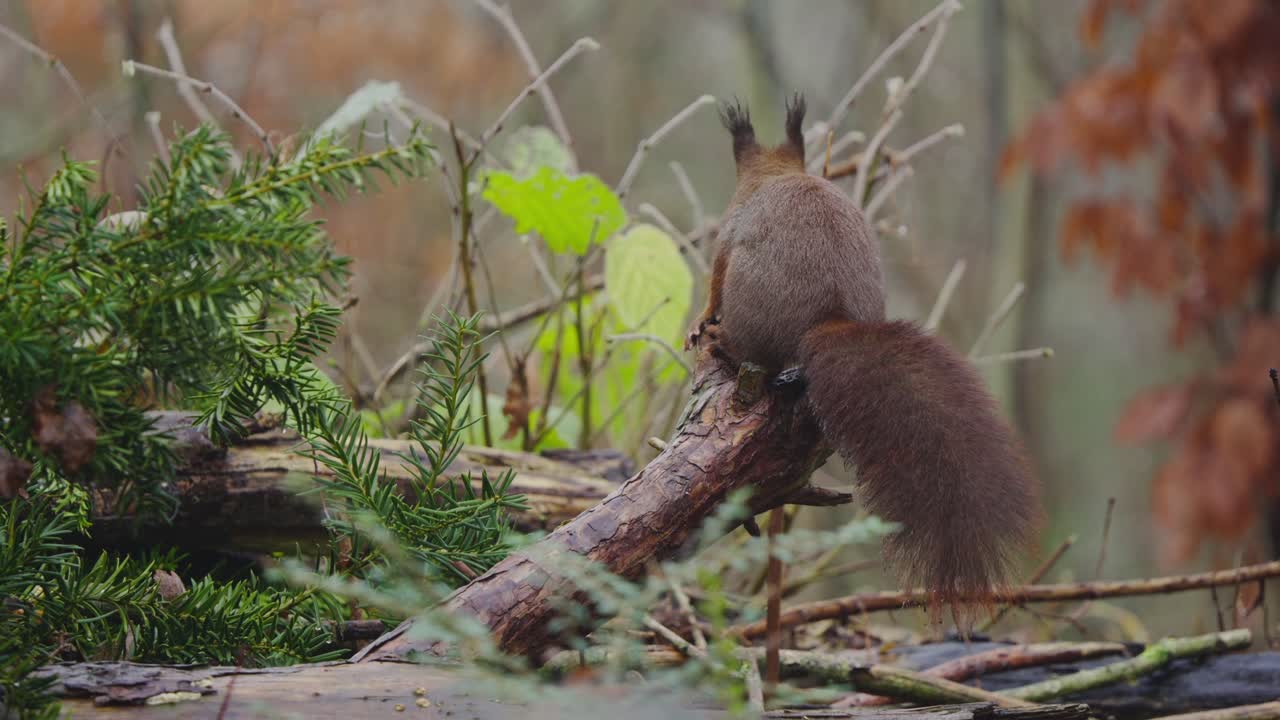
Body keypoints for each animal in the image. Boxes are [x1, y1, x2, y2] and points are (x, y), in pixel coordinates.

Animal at [686, 94, 1042, 617]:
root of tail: (831, 318)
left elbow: (713, 283)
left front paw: (700, 322)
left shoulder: (727, 239)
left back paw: (723, 344)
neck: (769, 176)